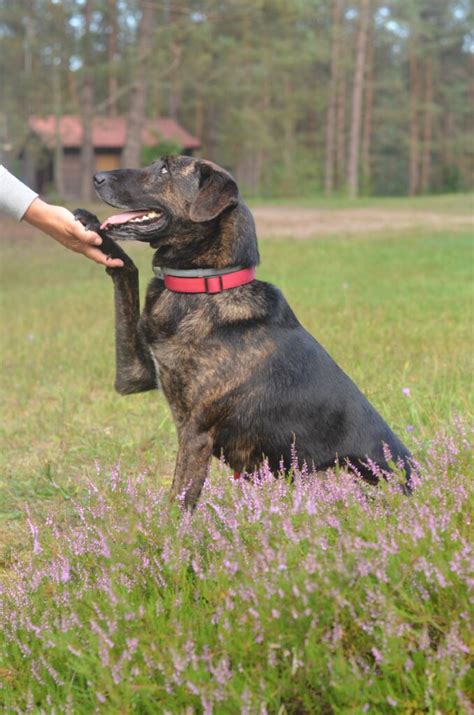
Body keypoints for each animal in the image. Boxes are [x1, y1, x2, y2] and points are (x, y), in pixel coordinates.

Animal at [74, 157, 412, 510]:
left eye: (165, 169)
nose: (97, 177)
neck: (206, 283)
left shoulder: (196, 434)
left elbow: (178, 502)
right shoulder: (135, 376)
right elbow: (127, 270)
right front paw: (92, 228)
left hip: (332, 474)